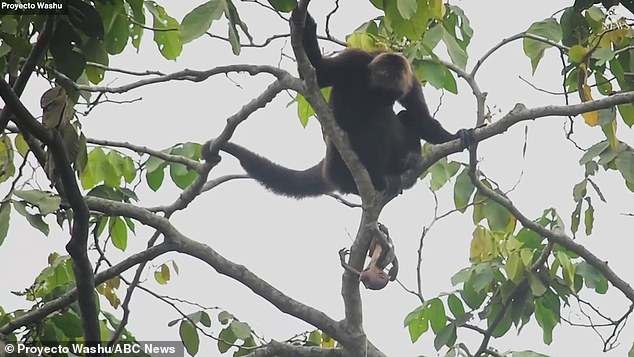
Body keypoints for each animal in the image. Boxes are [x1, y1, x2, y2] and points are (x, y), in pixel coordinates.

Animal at [201, 10, 464, 197]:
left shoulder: (411, 82)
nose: (383, 93)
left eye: (390, 91)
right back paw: (372, 179)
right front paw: (306, 22)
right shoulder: (356, 59)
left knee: (403, 117)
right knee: (377, 123)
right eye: (379, 82)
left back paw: (405, 163)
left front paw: (459, 135)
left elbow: (421, 117)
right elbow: (319, 72)